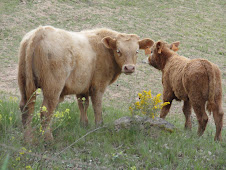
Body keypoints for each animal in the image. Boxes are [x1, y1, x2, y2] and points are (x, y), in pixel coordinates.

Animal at [17, 25, 154, 142]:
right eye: (119, 50)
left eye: (137, 51)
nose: (129, 68)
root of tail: (40, 31)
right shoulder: (98, 86)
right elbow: (97, 107)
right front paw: (99, 126)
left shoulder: (82, 86)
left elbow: (83, 104)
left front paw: (84, 124)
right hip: (52, 87)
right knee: (46, 111)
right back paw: (48, 139)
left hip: (24, 83)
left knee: (26, 107)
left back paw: (27, 138)